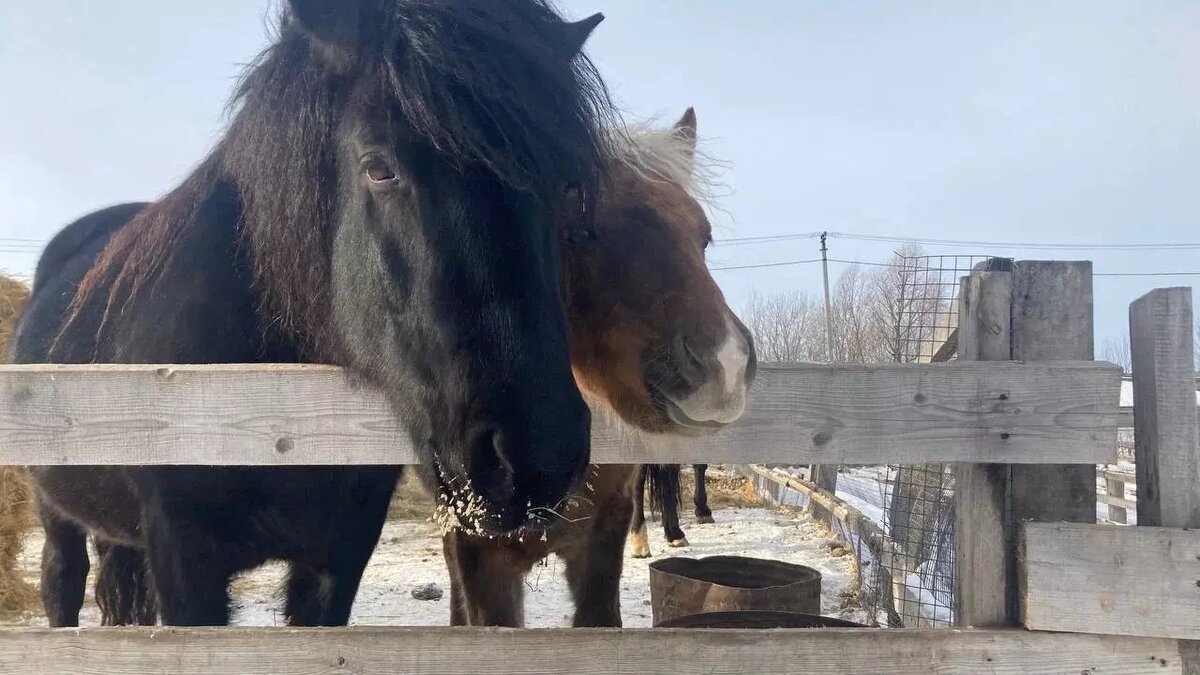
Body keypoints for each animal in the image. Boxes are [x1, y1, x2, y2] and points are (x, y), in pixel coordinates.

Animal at [16, 0, 619, 624]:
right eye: (379, 168)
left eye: (567, 186)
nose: (536, 457)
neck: (271, 416)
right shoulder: (182, 558)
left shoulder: (338, 558)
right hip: (55, 513)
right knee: (62, 580)